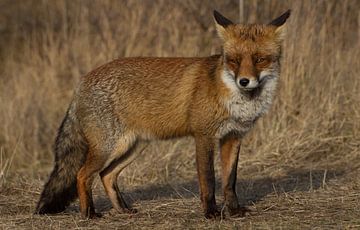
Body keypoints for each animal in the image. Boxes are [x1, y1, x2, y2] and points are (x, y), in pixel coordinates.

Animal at [35, 9, 290, 219]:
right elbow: (208, 180)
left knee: (106, 175)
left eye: (259, 59)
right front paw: (211, 213)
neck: (236, 98)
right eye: (234, 61)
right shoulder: (204, 136)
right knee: (81, 175)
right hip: (108, 148)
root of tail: (82, 82)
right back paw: (89, 213)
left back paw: (122, 210)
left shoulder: (233, 137)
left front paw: (234, 211)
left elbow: (230, 181)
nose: (244, 81)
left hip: (132, 147)